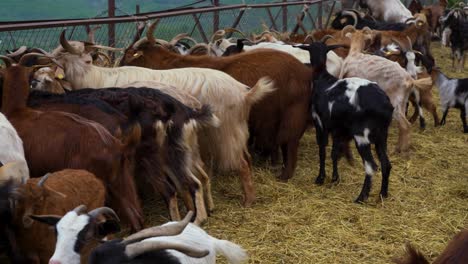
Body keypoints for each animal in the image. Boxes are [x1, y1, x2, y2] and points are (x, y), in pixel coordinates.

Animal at [119, 21, 312, 182]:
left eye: (129, 55)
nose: (119, 66)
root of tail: (304, 72)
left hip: (292, 112)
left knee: (289, 141)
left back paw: (284, 175)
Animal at [298, 41, 394, 202]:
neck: (322, 78)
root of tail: (385, 105)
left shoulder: (320, 123)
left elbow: (322, 151)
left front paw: (320, 178)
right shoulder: (338, 129)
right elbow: (334, 153)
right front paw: (335, 178)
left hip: (362, 136)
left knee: (371, 166)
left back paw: (361, 197)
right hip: (382, 135)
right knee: (386, 164)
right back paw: (382, 194)